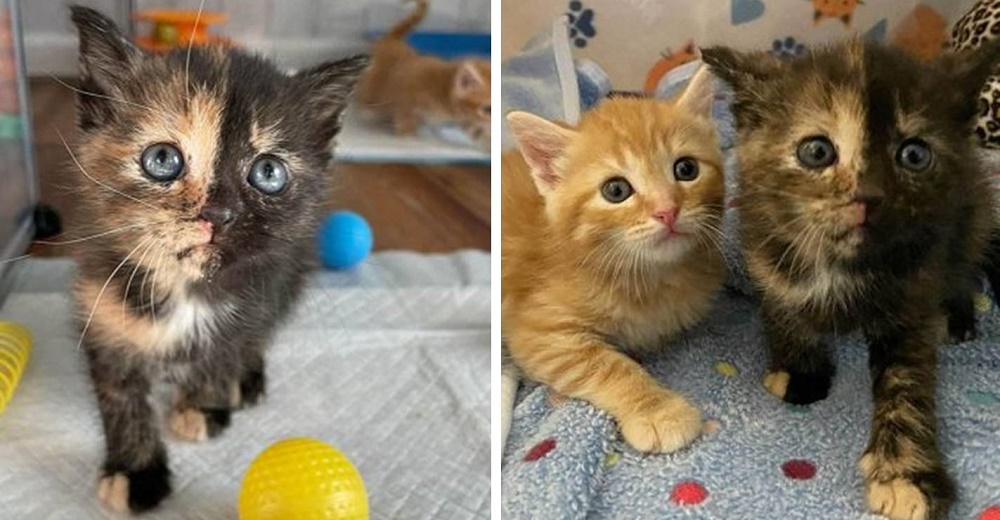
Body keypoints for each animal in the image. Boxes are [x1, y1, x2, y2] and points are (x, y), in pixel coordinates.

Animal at [68, 6, 368, 512]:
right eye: (162, 160)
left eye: (268, 172)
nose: (219, 213)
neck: (186, 287)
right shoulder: (100, 305)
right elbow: (119, 394)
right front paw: (136, 469)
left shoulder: (260, 291)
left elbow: (227, 348)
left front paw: (206, 401)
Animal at [358, 0, 490, 148]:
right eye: (487, 109)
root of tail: (393, 40)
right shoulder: (407, 95)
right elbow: (405, 116)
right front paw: (407, 135)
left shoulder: (467, 118)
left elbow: (477, 130)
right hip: (373, 84)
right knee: (366, 96)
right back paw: (367, 110)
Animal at [504, 67, 724, 452]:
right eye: (616, 190)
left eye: (686, 169)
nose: (667, 211)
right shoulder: (538, 333)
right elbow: (606, 365)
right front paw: (658, 410)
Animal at [704, 39, 1000, 520]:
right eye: (817, 152)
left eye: (914, 155)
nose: (868, 196)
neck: (842, 265)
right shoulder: (763, 249)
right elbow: (783, 307)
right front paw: (800, 372)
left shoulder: (913, 296)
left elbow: (907, 384)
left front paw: (904, 475)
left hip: (971, 210)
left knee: (963, 264)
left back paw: (957, 318)